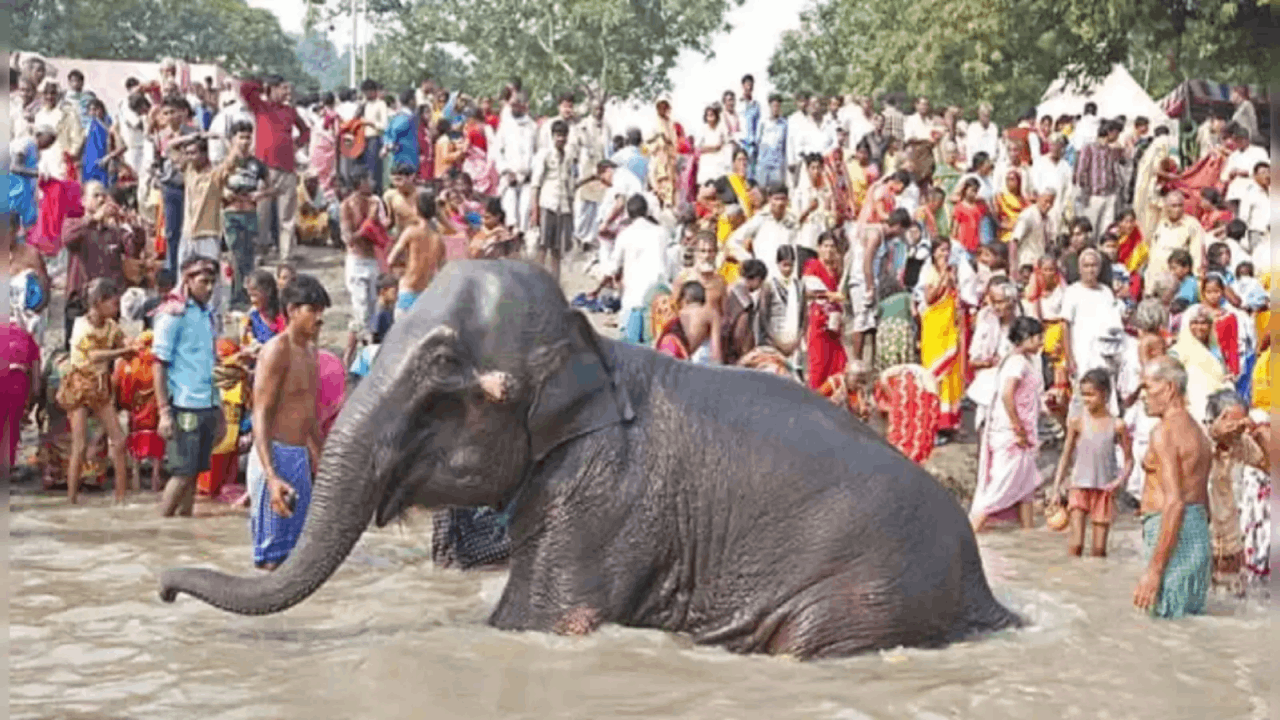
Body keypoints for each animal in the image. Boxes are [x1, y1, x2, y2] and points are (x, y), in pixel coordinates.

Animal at [160, 256, 1018, 655]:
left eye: (445, 389)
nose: (164, 592)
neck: (595, 352)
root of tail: (988, 600)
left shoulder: (601, 493)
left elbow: (537, 620)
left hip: (872, 593)